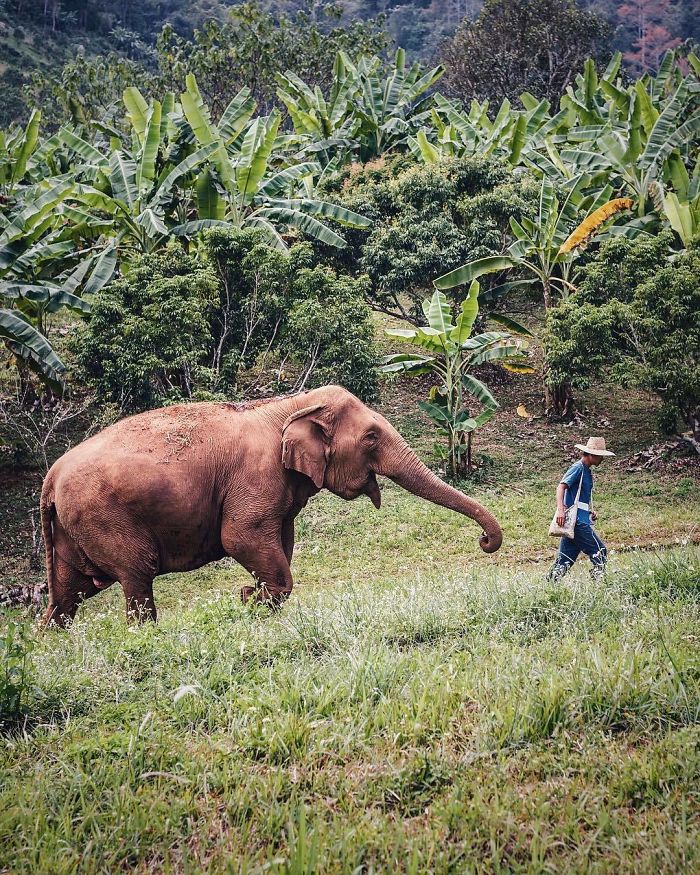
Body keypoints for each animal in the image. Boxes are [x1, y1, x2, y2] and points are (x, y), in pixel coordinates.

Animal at [39, 386, 504, 628]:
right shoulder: (255, 477)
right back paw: (146, 634)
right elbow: (240, 537)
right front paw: (248, 598)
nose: (485, 541)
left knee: (68, 593)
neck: (290, 404)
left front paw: (253, 600)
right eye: (371, 437)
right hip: (105, 518)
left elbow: (283, 539)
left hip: (71, 531)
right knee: (136, 575)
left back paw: (52, 640)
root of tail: (49, 479)